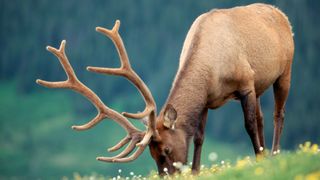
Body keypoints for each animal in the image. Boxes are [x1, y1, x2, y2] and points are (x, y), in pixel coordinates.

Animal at [36, 3, 294, 176]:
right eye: (151, 154)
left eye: (167, 150)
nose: (167, 175)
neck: (212, 70)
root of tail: (281, 13)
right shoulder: (207, 99)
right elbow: (199, 136)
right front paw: (196, 171)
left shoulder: (246, 83)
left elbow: (248, 125)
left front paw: (258, 158)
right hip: (260, 86)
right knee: (261, 117)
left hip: (285, 70)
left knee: (277, 114)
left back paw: (273, 153)